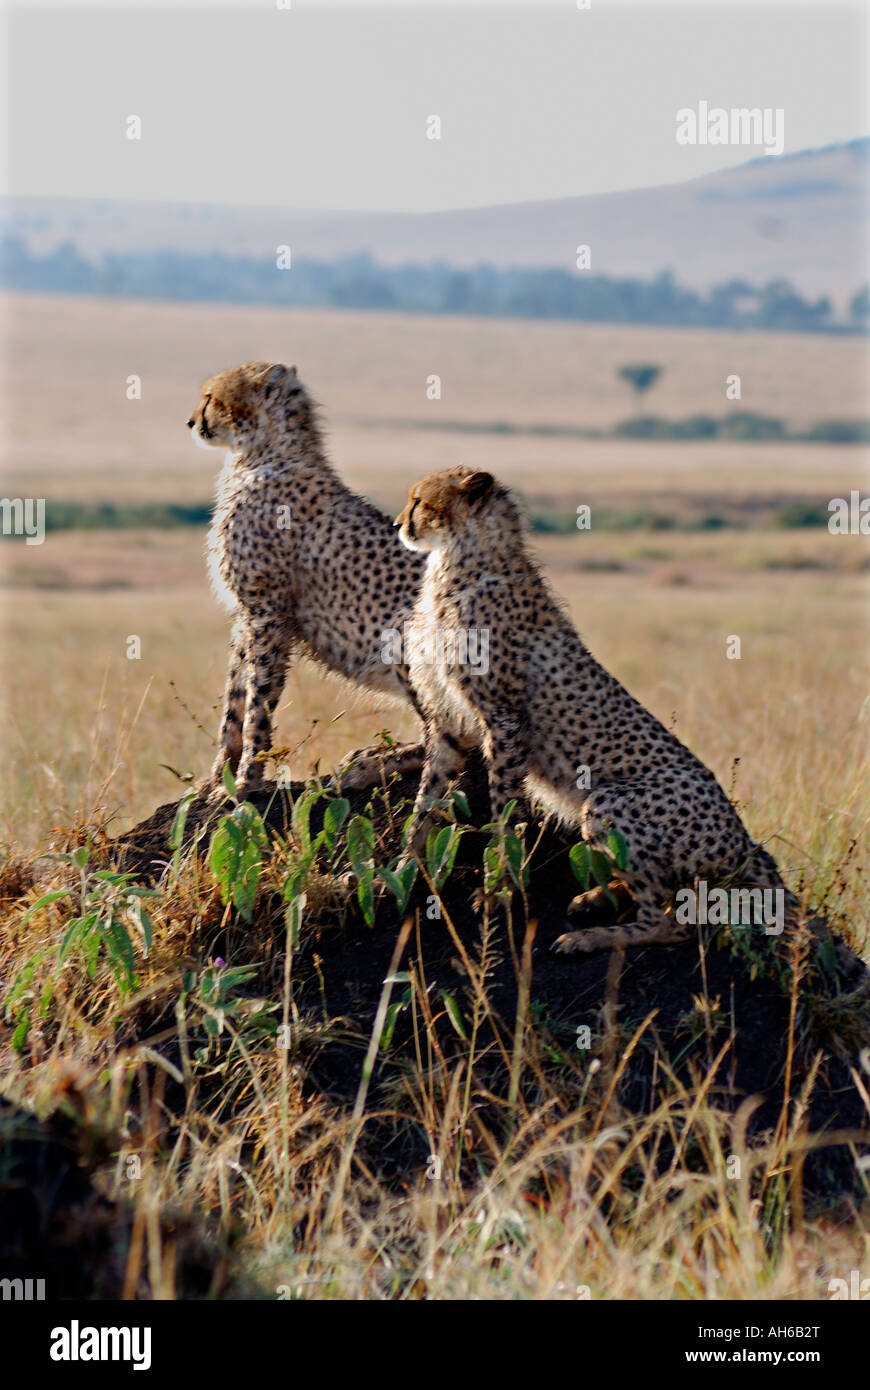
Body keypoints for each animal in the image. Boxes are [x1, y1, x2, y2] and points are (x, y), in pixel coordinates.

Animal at [187, 358, 428, 795]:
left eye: (210, 397)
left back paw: (369, 766)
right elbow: (234, 699)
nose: (191, 421)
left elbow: (258, 702)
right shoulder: (246, 616)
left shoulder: (268, 613)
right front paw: (215, 780)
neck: (261, 454)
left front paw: (246, 781)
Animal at [394, 467, 794, 956]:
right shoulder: (451, 723)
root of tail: (743, 839)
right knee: (661, 893)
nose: (399, 524)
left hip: (607, 801)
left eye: (418, 500)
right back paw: (594, 899)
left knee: (669, 919)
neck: (459, 559)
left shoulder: (504, 719)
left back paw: (587, 937)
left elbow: (503, 813)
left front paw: (497, 889)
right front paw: (400, 872)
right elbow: (425, 804)